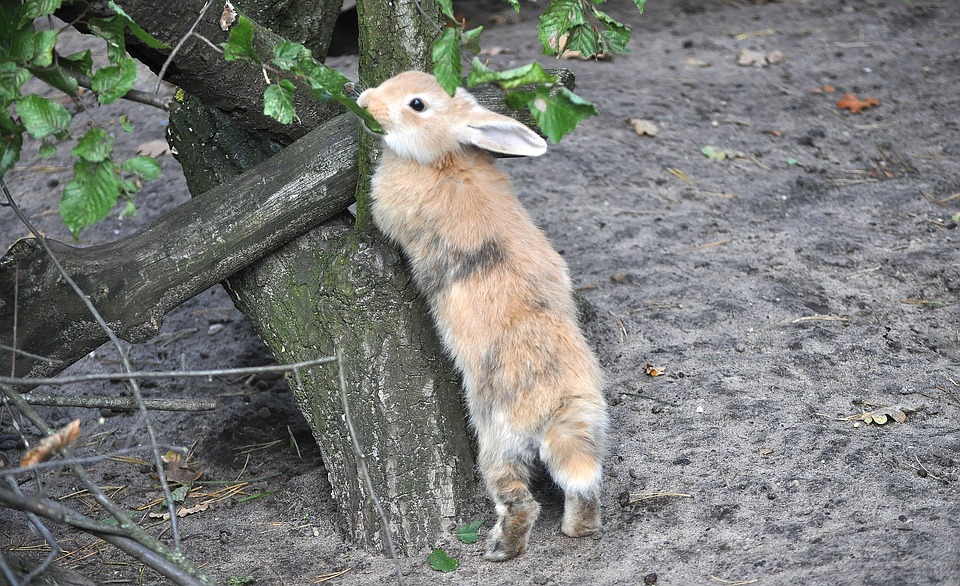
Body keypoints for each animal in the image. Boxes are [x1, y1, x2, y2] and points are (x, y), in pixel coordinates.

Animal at [360, 70, 608, 560]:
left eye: (417, 104)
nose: (365, 101)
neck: (444, 157)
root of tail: (559, 402)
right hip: (587, 428)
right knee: (584, 487)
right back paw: (578, 530)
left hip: (497, 438)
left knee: (520, 501)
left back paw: (500, 549)